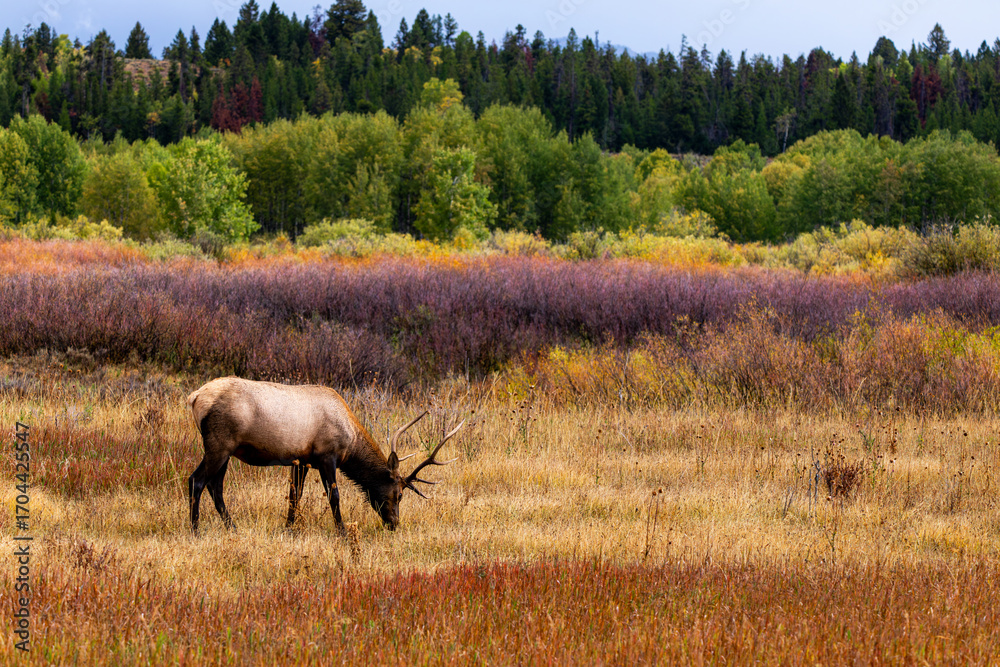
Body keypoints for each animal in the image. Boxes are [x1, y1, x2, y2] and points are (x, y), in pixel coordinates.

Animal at [186, 377, 463, 534]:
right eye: (400, 494)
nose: (394, 523)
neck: (350, 441)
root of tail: (195, 397)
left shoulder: (301, 459)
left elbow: (294, 495)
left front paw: (289, 528)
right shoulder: (327, 456)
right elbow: (334, 496)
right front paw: (342, 530)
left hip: (225, 450)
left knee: (215, 486)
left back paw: (231, 527)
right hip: (219, 444)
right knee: (197, 480)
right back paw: (195, 530)